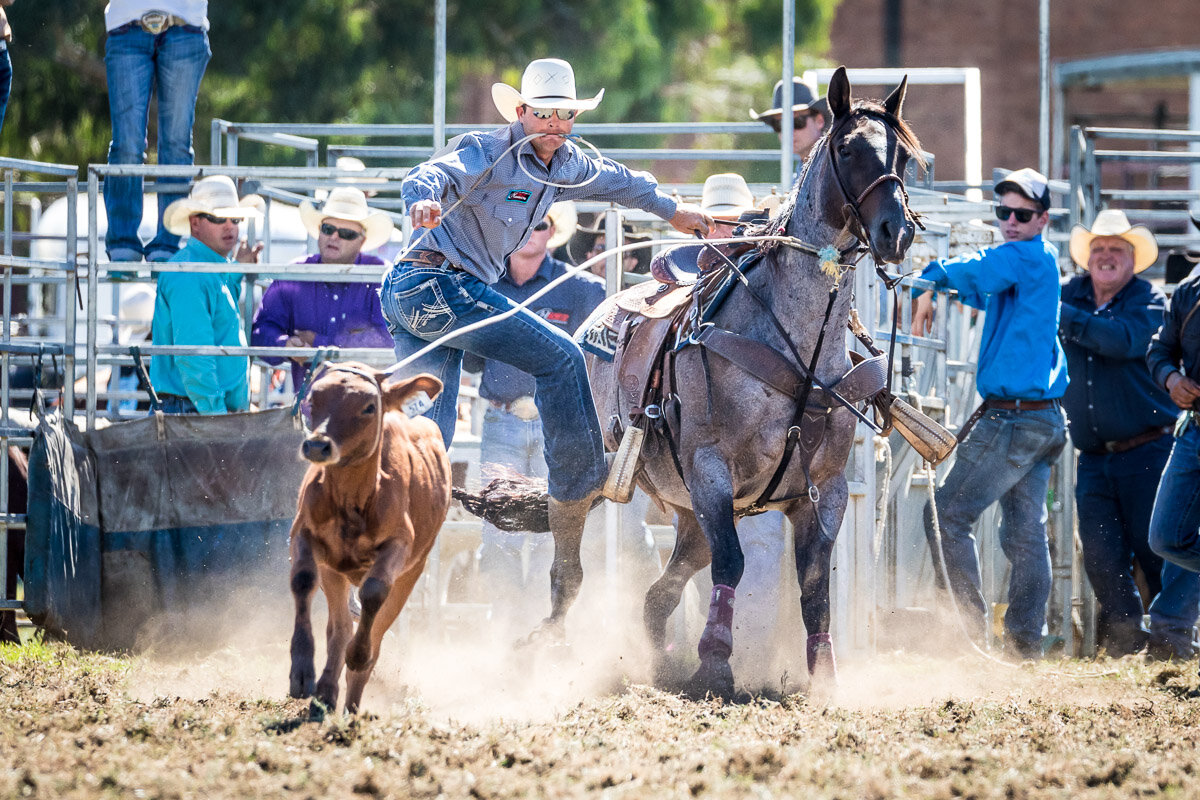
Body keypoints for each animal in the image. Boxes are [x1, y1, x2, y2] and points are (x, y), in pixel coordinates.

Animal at [286, 362, 451, 714]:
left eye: (368, 407)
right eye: (313, 399)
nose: (317, 446)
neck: (353, 497)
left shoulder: (399, 548)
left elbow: (374, 595)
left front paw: (358, 656)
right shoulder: (303, 534)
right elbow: (303, 580)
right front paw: (301, 671)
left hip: (411, 574)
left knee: (374, 630)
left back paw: (351, 704)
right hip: (335, 573)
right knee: (339, 629)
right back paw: (324, 694)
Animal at [552, 68, 916, 695]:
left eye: (905, 156)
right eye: (848, 149)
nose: (898, 231)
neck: (796, 344)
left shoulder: (826, 488)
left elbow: (814, 581)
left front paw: (824, 677)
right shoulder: (711, 471)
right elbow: (734, 564)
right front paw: (716, 664)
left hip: (688, 510)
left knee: (659, 594)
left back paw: (658, 666)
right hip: (607, 470)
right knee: (570, 552)